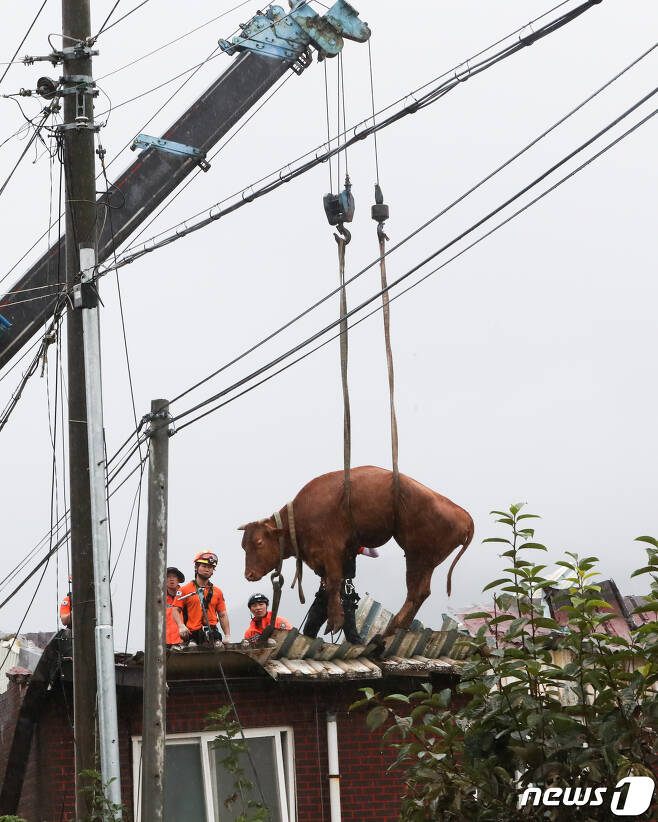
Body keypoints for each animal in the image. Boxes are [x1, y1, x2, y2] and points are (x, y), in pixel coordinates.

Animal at [236, 470, 472, 636]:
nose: (249, 575)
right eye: (243, 545)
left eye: (258, 542)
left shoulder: (331, 549)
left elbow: (333, 583)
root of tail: (465, 516)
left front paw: (336, 620)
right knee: (421, 592)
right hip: (425, 559)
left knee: (416, 592)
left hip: (418, 555)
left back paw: (393, 628)